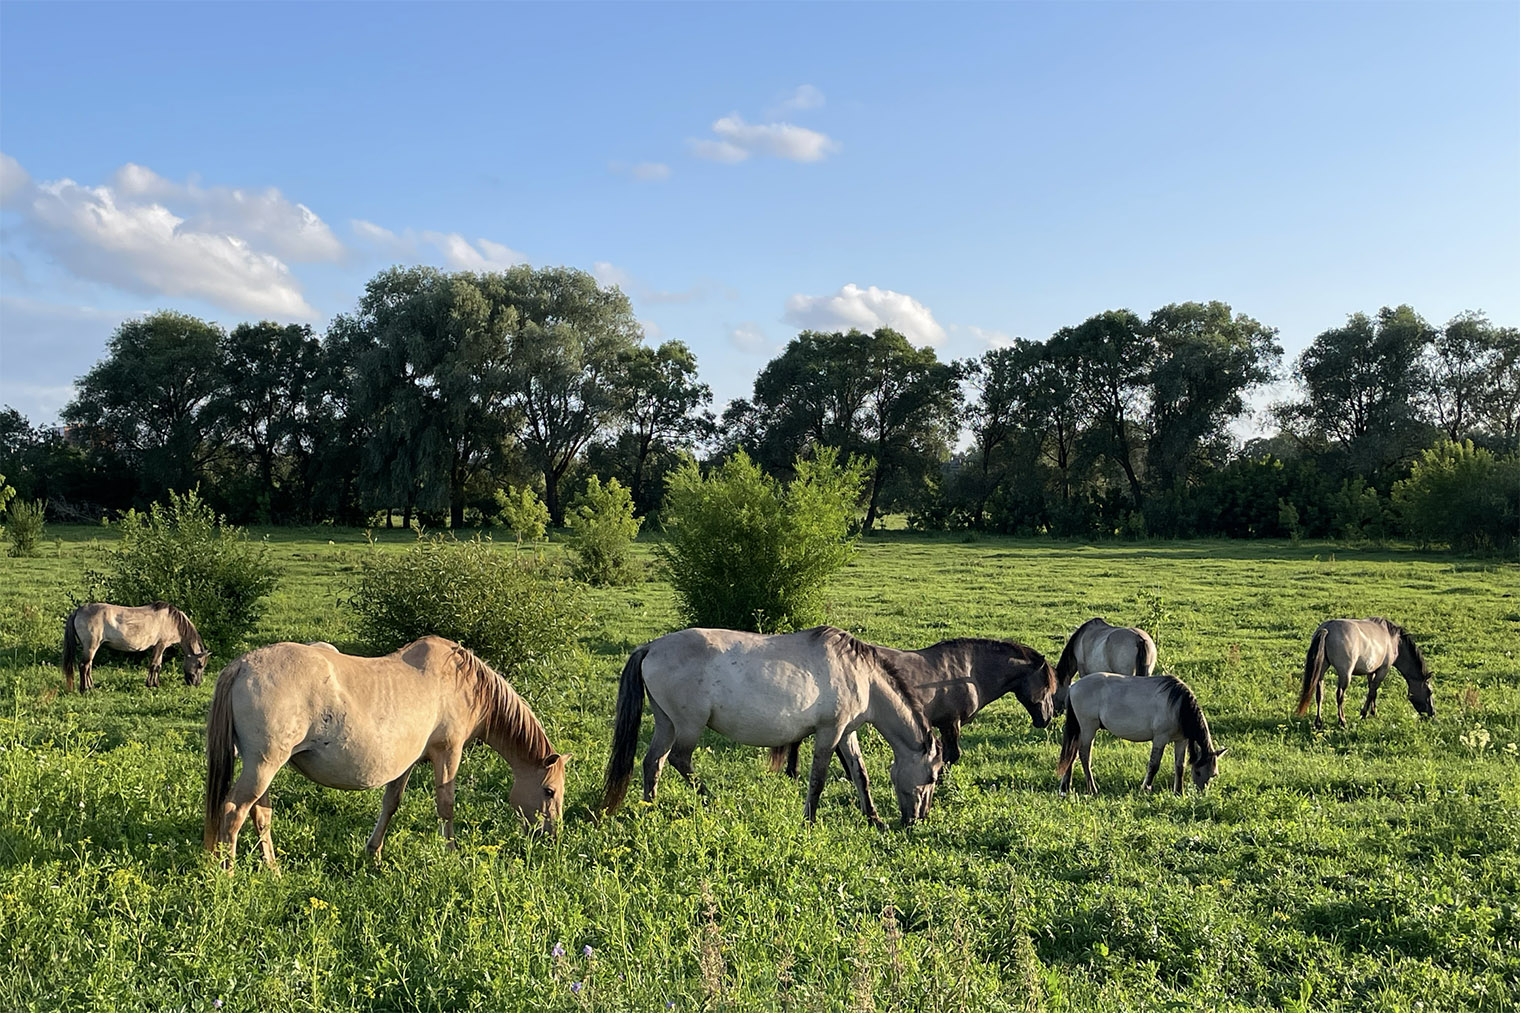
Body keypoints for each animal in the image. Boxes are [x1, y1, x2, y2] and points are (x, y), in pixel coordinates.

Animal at [61, 596, 208, 690]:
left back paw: (90, 686)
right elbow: (154, 666)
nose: (197, 684)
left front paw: (155, 684)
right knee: (83, 666)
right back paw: (84, 689)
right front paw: (150, 685)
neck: (173, 621)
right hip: (91, 646)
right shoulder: (161, 645)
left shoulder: (160, 647)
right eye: (200, 665)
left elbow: (158, 666)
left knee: (88, 666)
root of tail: (78, 610)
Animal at [205, 635, 568, 863]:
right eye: (549, 791)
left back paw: (273, 869)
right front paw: (451, 852)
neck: (462, 682)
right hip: (263, 766)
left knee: (260, 815)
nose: (551, 836)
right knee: (233, 812)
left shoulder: (406, 762)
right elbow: (446, 805)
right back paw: (228, 874)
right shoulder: (448, 753)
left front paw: (374, 852)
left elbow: (391, 803)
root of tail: (242, 665)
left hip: (262, 768)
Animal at [598, 623, 942, 827]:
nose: (918, 818)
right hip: (688, 726)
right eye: (932, 776)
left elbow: (861, 774)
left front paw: (874, 818)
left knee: (653, 761)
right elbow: (818, 779)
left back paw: (650, 806)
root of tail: (651, 647)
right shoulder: (829, 732)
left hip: (666, 723)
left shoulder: (846, 732)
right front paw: (809, 820)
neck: (861, 675)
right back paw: (715, 802)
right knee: (680, 760)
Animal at [1064, 675, 1228, 790]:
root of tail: (1073, 687)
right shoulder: (1160, 738)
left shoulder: (1181, 740)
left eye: (1213, 774)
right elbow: (1154, 765)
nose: (1201, 792)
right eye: (1198, 772)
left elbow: (1179, 767)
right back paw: (1092, 788)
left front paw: (1178, 792)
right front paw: (1145, 788)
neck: (1178, 706)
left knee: (1071, 754)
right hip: (1088, 728)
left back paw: (1065, 788)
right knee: (1084, 755)